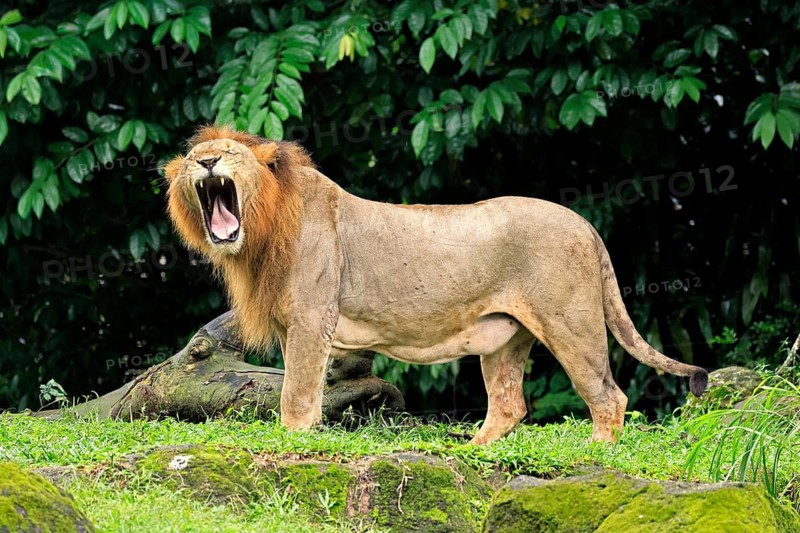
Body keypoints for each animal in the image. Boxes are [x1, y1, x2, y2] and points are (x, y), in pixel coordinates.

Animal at [165, 126, 708, 444]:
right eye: (193, 158)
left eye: (228, 152)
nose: (207, 164)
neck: (260, 232)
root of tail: (586, 224)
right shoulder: (290, 328)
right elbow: (307, 389)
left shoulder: (310, 319)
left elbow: (295, 394)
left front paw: (293, 441)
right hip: (505, 339)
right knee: (509, 405)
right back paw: (475, 453)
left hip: (571, 325)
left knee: (608, 397)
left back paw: (593, 453)